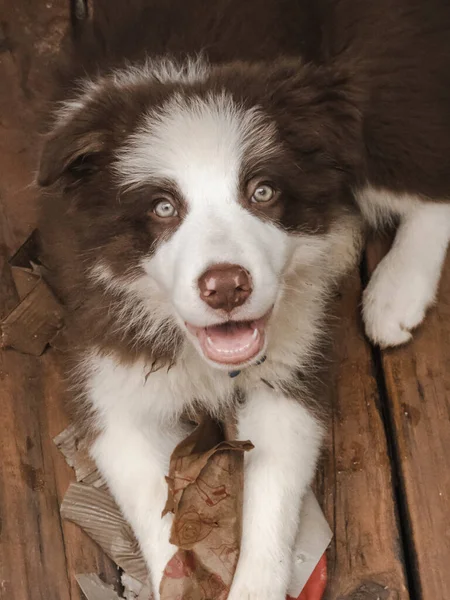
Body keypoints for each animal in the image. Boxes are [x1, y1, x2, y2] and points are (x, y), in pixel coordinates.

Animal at [37, 0, 450, 596]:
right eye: (163, 208)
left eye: (263, 192)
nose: (227, 286)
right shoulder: (109, 374)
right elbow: (154, 511)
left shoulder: (290, 375)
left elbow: (271, 506)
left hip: (375, 90)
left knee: (432, 188)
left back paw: (395, 294)